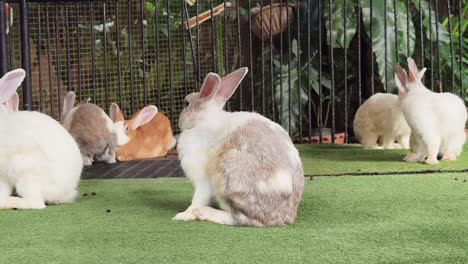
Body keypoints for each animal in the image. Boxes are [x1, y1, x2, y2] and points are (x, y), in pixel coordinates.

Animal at [174, 68, 306, 227]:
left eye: (186, 103)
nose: (179, 121)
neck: (202, 120)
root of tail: (281, 218)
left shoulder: (202, 179)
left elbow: (198, 199)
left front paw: (184, 215)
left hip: (226, 175)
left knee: (238, 218)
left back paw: (204, 212)